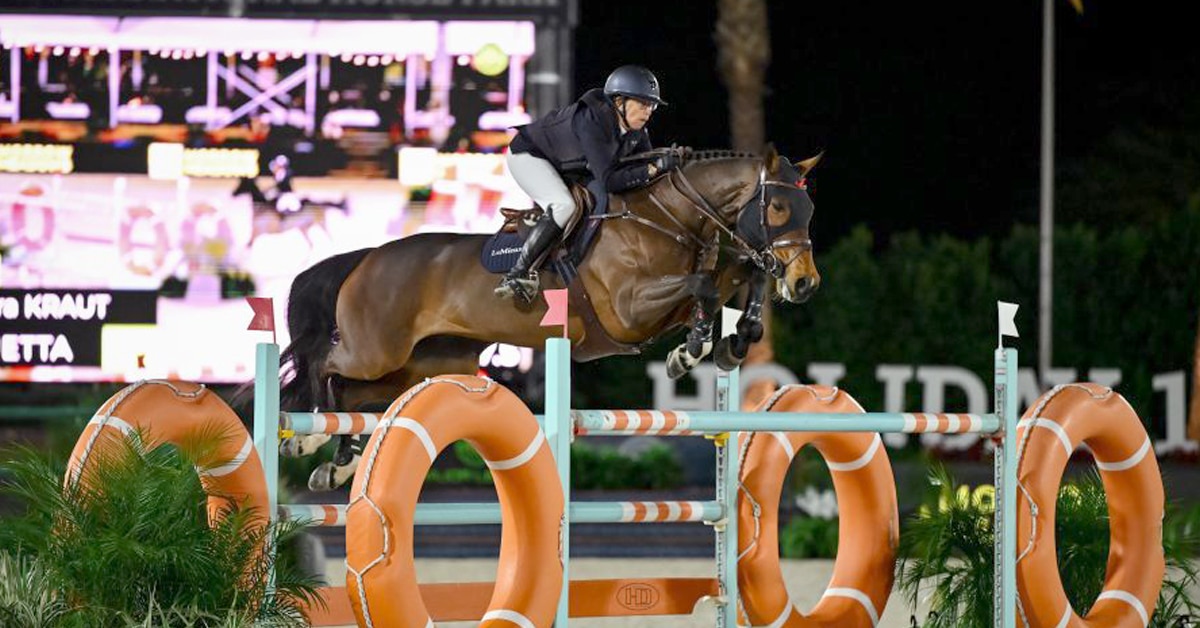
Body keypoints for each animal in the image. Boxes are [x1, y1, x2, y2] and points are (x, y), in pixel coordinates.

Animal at [279, 145, 823, 490]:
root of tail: (368, 256)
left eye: (809, 209)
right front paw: (688, 354)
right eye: (777, 206)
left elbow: (740, 278)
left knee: (354, 393)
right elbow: (705, 287)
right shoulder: (628, 310)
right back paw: (308, 436)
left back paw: (337, 465)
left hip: (423, 364)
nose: (805, 283)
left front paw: (734, 341)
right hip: (376, 349)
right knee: (324, 365)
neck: (667, 218)